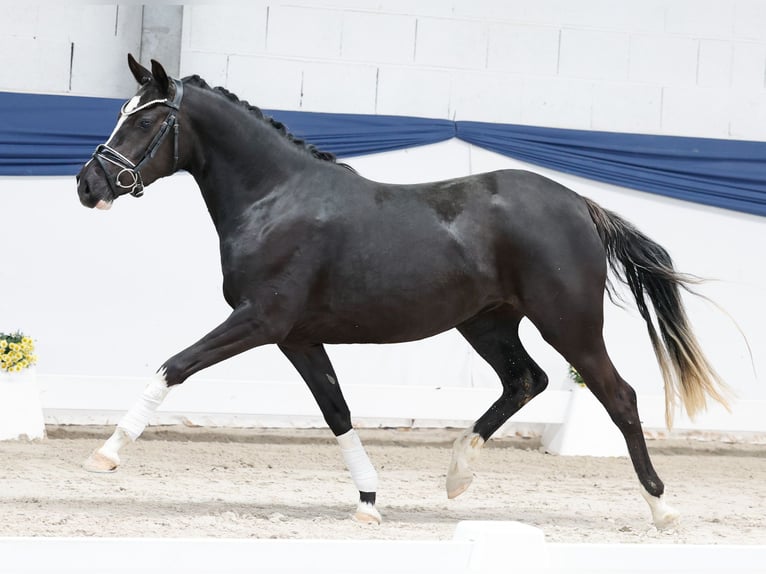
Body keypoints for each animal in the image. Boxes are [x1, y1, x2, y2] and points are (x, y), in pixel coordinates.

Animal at [76, 54, 730, 528]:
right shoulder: (297, 337)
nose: (88, 185)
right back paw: (457, 475)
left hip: (569, 324)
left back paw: (662, 509)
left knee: (618, 396)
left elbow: (174, 366)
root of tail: (579, 205)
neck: (275, 198)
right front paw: (368, 502)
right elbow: (336, 409)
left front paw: (105, 454)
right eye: (122, 113)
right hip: (487, 322)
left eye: (143, 120)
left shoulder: (259, 321)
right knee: (527, 380)